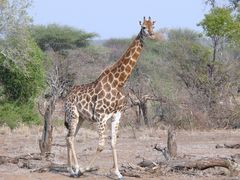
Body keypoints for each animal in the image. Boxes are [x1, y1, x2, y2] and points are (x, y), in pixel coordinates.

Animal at [64, 16, 156, 179]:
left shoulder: (116, 115)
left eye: (154, 26)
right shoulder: (101, 117)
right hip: (72, 114)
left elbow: (113, 142)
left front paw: (118, 172)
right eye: (144, 27)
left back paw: (71, 169)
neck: (118, 82)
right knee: (69, 137)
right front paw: (84, 169)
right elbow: (101, 145)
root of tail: (67, 95)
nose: (152, 35)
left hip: (80, 117)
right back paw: (75, 169)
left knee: (71, 137)